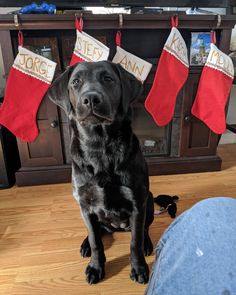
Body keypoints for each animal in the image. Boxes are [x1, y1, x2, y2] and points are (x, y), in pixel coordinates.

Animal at [48, 61, 155, 286]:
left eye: (108, 79)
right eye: (76, 82)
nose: (90, 98)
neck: (100, 147)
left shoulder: (137, 203)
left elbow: (135, 242)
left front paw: (139, 268)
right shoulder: (85, 204)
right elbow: (96, 241)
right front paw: (96, 267)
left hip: (148, 199)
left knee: (143, 230)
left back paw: (147, 243)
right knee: (96, 232)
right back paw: (85, 245)